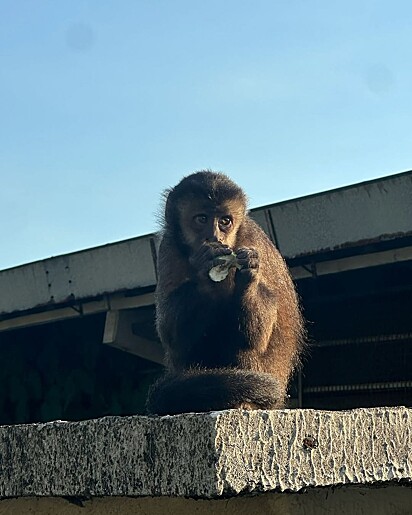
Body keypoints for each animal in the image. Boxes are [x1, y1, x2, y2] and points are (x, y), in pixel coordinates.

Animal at [146, 171, 304, 418]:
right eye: (202, 219)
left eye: (224, 221)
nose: (214, 236)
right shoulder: (168, 247)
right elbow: (171, 334)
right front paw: (204, 269)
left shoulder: (251, 240)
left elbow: (259, 332)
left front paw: (248, 276)